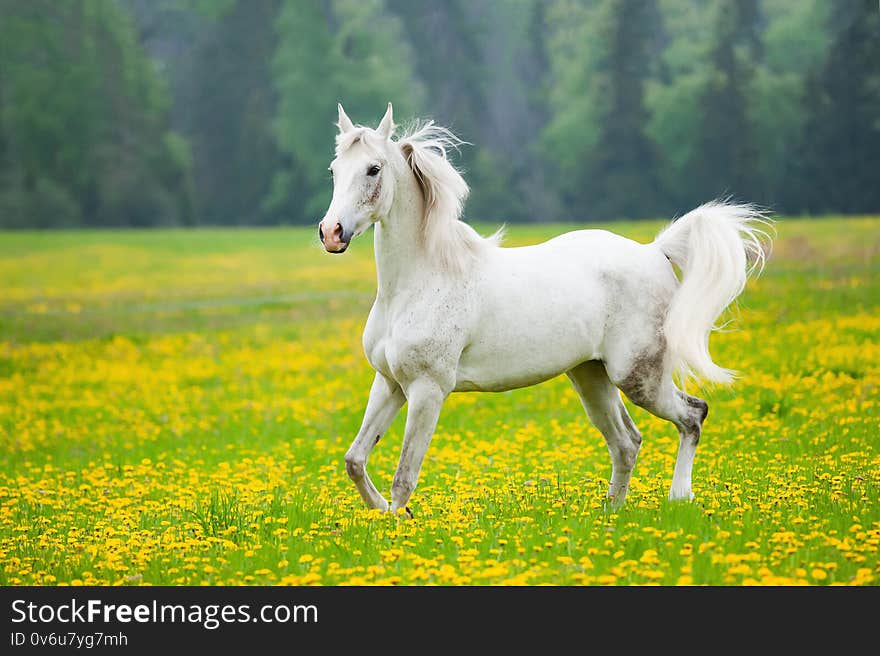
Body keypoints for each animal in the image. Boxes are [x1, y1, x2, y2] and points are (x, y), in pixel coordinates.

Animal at [318, 102, 768, 516]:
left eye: (374, 169)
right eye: (334, 170)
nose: (331, 233)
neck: (418, 282)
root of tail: (655, 251)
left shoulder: (428, 389)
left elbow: (404, 476)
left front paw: (400, 523)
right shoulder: (390, 383)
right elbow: (355, 460)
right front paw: (383, 513)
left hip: (640, 378)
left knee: (692, 415)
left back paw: (679, 497)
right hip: (591, 377)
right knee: (627, 442)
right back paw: (612, 512)